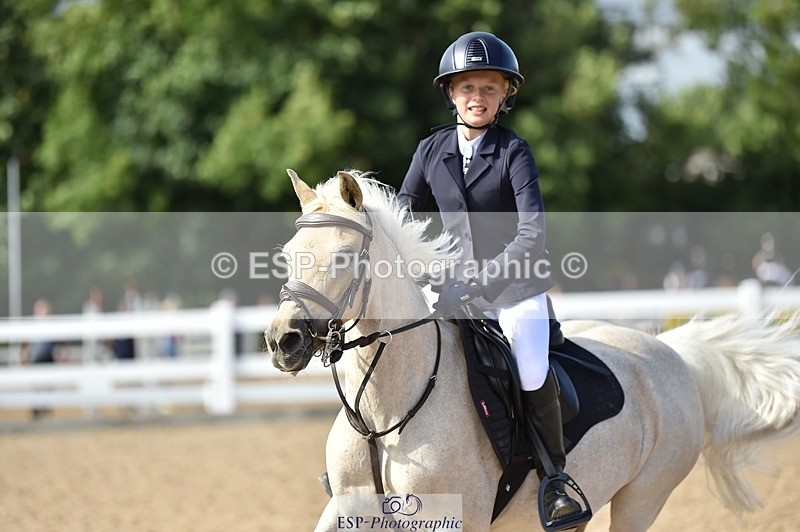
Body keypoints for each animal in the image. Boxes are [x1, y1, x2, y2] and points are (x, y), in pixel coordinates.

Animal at [265, 169, 800, 531]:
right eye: (288, 255)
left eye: (342, 258)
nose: (283, 341)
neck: (385, 415)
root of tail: (672, 353)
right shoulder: (348, 510)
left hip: (644, 497)